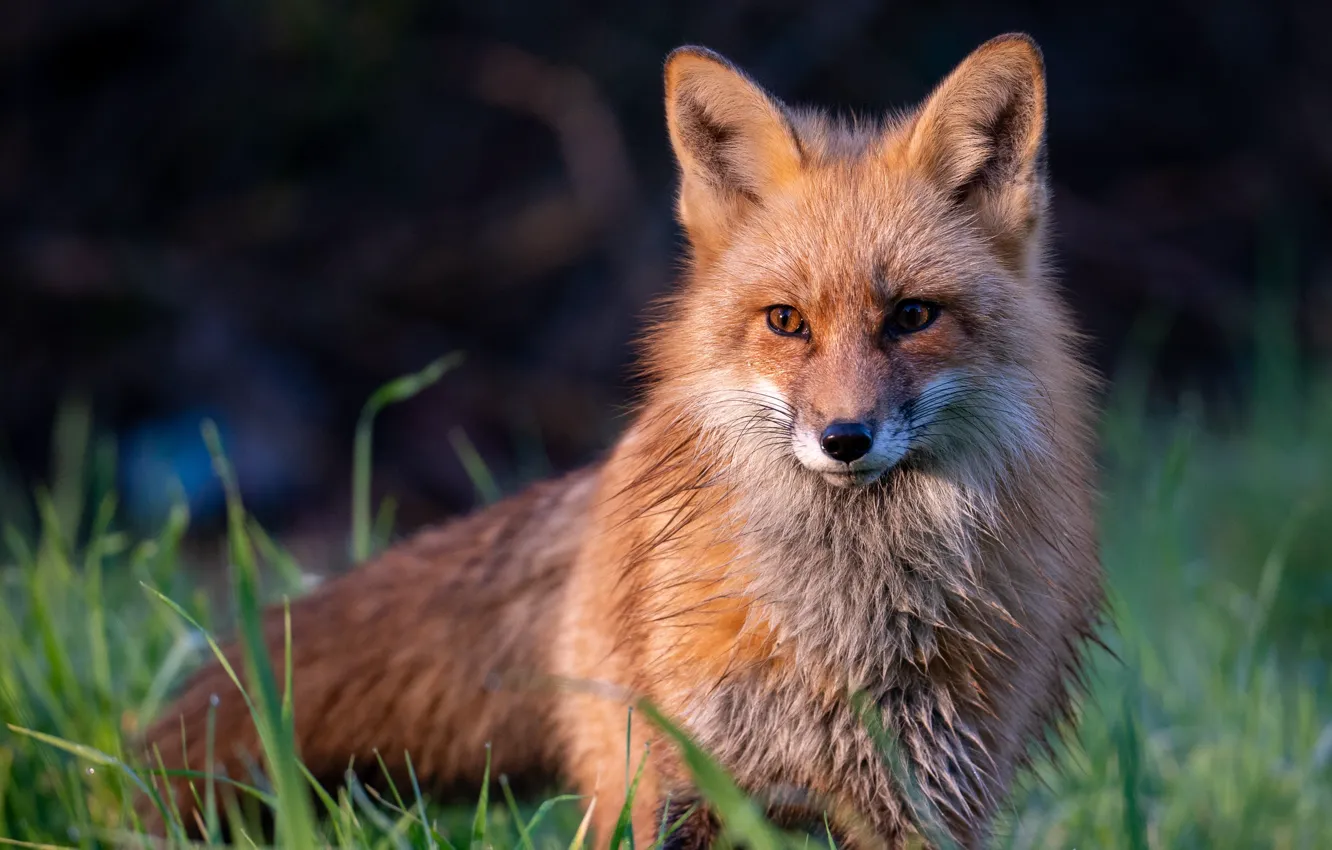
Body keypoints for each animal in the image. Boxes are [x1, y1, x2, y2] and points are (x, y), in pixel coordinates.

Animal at [140, 33, 1104, 849]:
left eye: (912, 317)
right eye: (785, 322)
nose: (844, 439)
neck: (838, 628)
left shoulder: (928, 802)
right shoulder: (684, 784)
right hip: (622, 783)